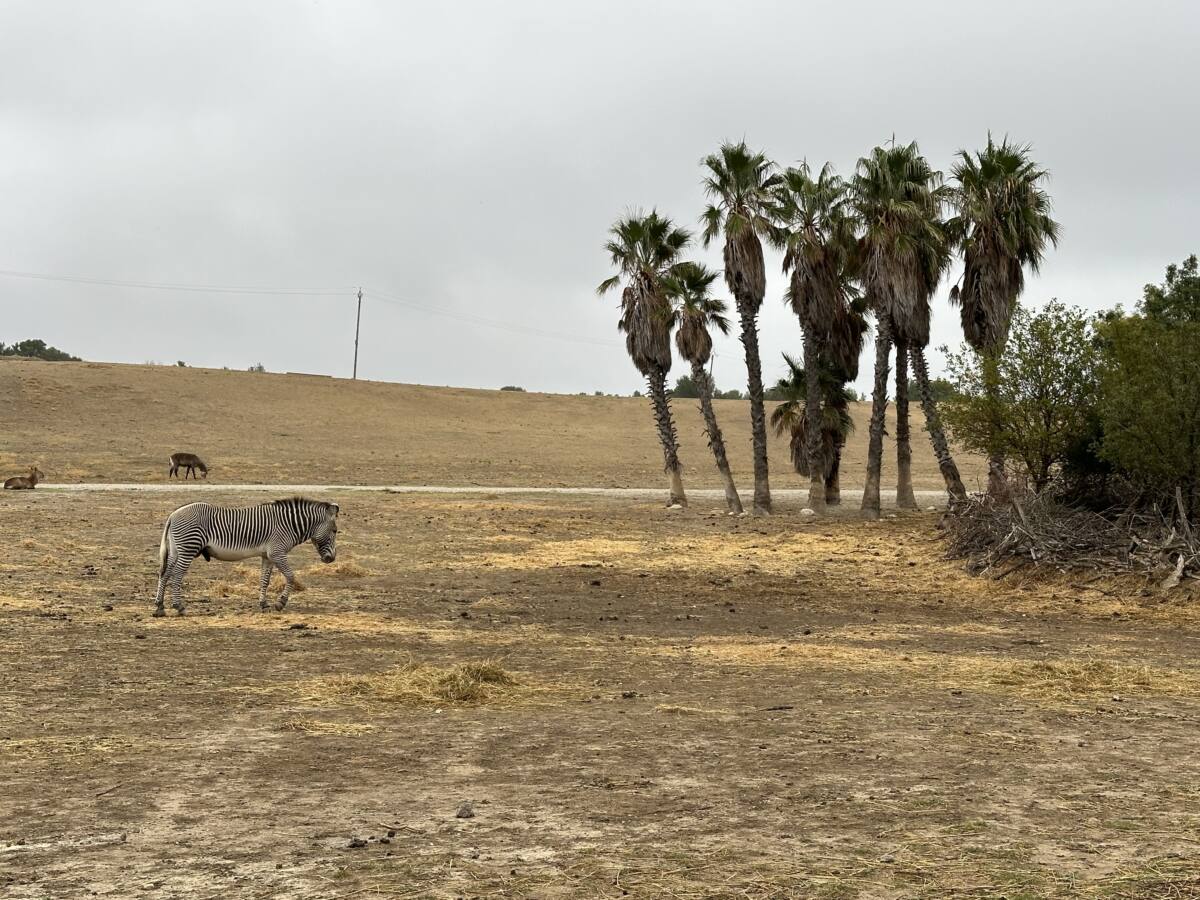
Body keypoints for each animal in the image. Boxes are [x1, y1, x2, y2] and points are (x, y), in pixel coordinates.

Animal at [152, 496, 338, 619]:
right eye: (335, 531)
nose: (332, 559)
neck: (288, 524)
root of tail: (173, 514)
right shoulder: (277, 552)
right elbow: (291, 576)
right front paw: (280, 603)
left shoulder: (267, 556)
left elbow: (265, 580)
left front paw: (264, 604)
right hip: (188, 547)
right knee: (176, 576)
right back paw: (179, 607)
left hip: (176, 549)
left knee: (165, 574)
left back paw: (160, 607)